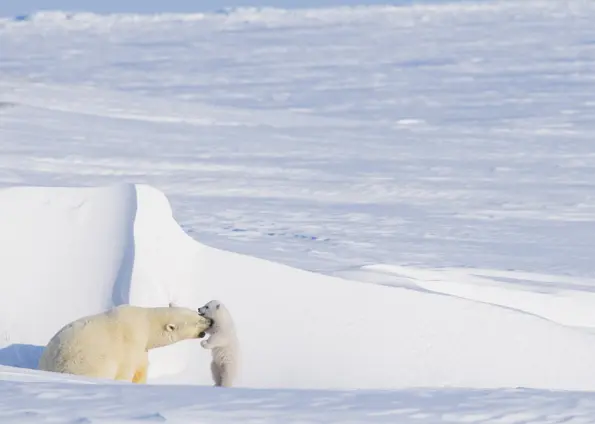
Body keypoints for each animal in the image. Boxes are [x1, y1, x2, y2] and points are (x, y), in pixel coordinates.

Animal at [37, 304, 212, 382]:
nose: (210, 321)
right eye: (197, 322)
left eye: (198, 314)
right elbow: (128, 371)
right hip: (84, 365)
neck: (146, 323)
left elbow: (141, 367)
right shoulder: (131, 343)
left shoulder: (142, 348)